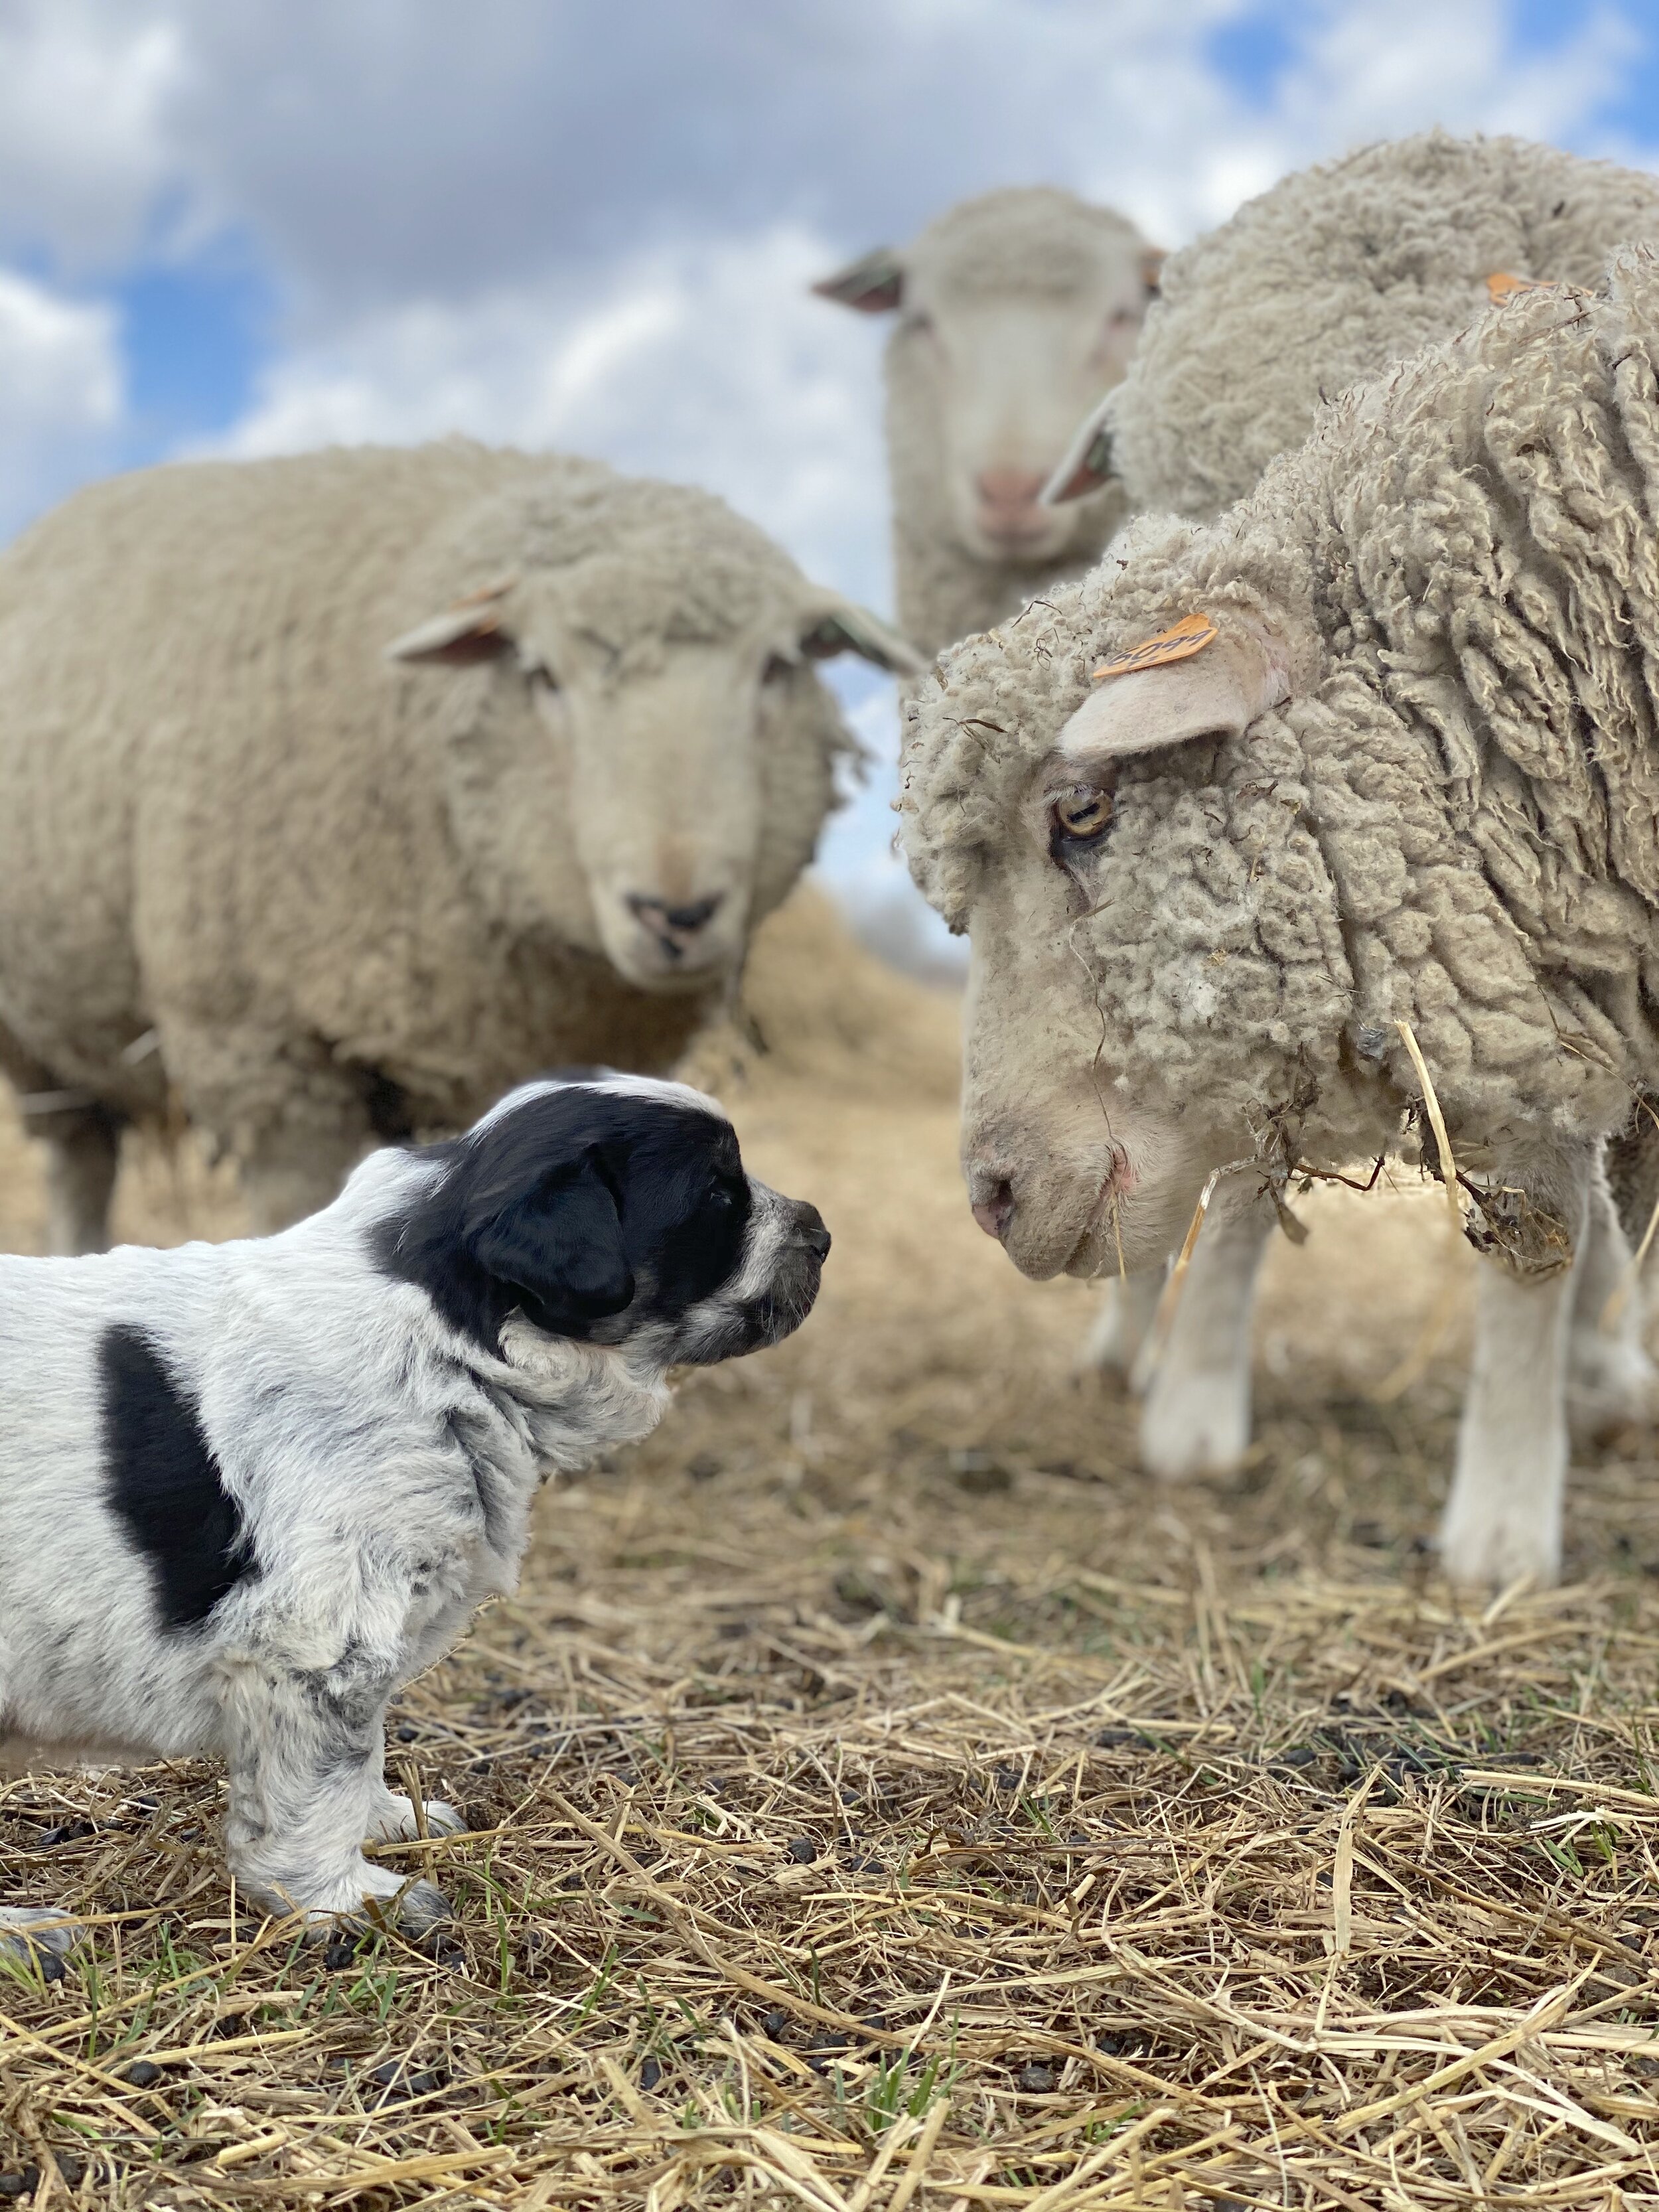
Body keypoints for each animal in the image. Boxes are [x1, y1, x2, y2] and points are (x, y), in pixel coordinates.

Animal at [0, 440, 924, 1256]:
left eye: (775, 668)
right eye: (542, 675)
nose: (677, 914)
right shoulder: (260, 1053)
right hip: (41, 1036)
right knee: (77, 1164)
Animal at [0, 1079, 831, 1964]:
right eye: (718, 1195)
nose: (821, 1233)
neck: (445, 1341)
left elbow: (359, 1753)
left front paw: (387, 1821)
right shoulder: (316, 1645)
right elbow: (315, 1789)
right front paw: (345, 1899)